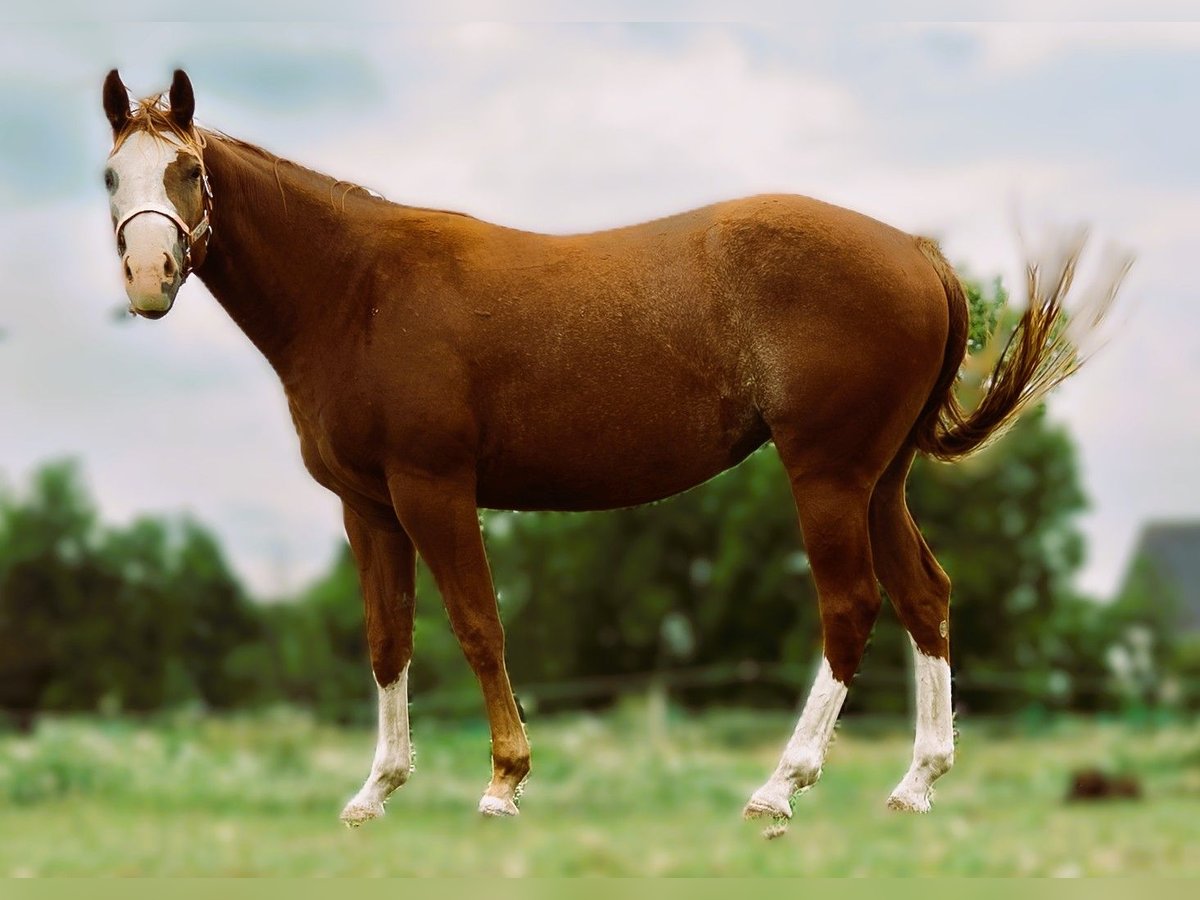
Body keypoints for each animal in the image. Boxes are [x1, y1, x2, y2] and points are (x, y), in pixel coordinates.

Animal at [99, 69, 1128, 827]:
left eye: (186, 170)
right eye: (113, 175)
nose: (149, 277)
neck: (359, 288)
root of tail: (917, 253)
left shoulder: (435, 489)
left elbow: (477, 626)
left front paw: (504, 781)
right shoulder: (369, 505)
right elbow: (389, 639)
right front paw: (375, 791)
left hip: (828, 475)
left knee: (851, 607)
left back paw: (780, 786)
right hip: (880, 481)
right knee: (926, 598)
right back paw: (916, 782)